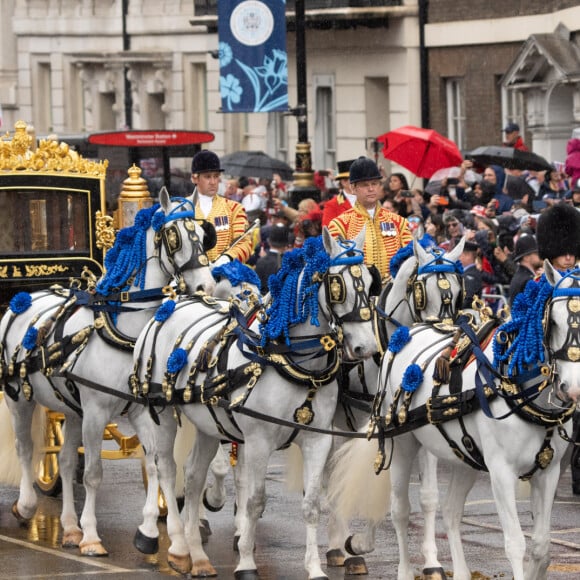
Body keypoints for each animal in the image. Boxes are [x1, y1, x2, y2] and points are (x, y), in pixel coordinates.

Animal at [0, 189, 215, 556]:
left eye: (203, 234)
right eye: (174, 237)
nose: (206, 286)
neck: (125, 332)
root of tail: (24, 299)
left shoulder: (139, 411)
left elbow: (156, 463)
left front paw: (156, 532)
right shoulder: (97, 411)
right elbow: (94, 473)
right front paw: (91, 536)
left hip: (70, 408)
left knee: (66, 459)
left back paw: (69, 527)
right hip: (20, 398)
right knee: (26, 446)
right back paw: (27, 506)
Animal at [129, 229, 378, 576]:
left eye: (369, 282)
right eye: (336, 284)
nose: (366, 347)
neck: (291, 360)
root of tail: (172, 304)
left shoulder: (317, 440)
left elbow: (312, 504)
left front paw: (315, 568)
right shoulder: (259, 440)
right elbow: (255, 499)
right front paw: (246, 562)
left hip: (208, 423)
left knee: (193, 477)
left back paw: (198, 555)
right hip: (163, 413)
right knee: (165, 467)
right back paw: (174, 545)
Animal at [328, 262, 576, 580]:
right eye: (553, 322)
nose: (571, 387)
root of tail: (408, 332)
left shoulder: (548, 472)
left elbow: (542, 545)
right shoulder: (501, 472)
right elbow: (515, 543)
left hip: (464, 456)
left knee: (451, 511)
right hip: (403, 443)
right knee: (399, 508)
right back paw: (395, 565)